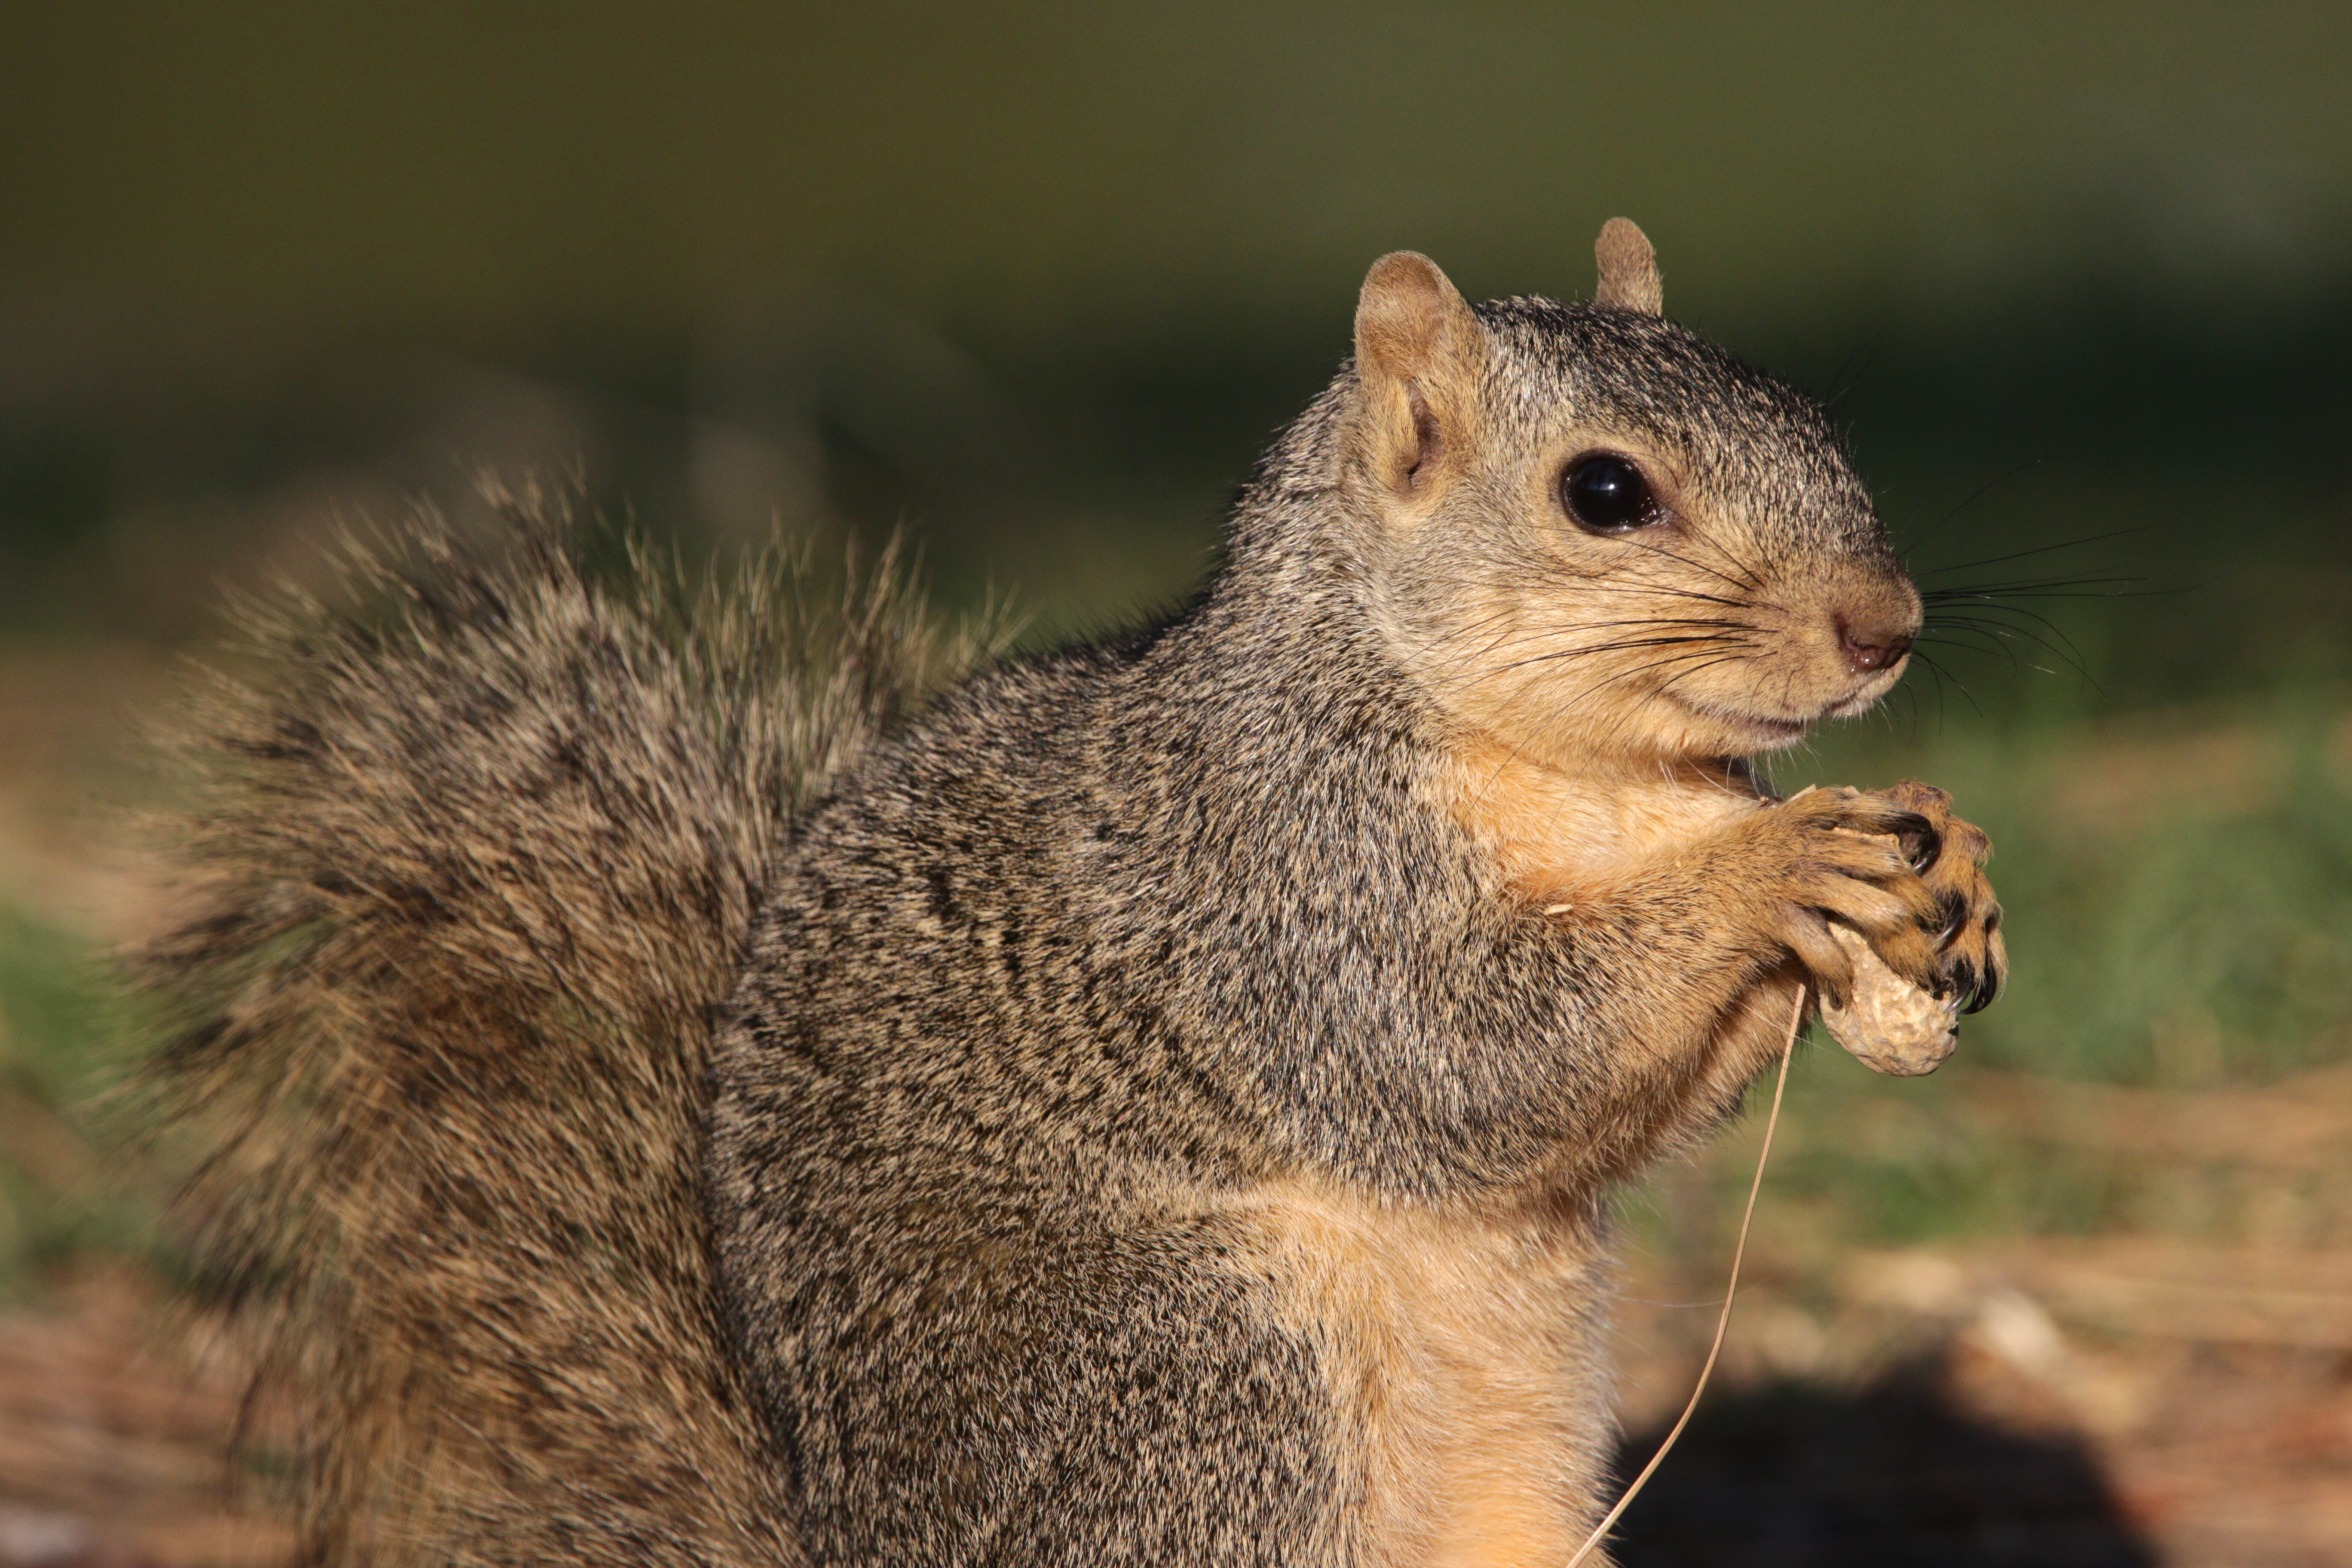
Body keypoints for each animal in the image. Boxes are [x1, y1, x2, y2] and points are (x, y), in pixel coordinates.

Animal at [137, 220, 2003, 1568]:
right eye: (1604, 492)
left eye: (1815, 421)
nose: (1888, 627)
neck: (1609, 780)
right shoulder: (1275, 879)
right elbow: (1461, 1057)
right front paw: (1777, 864)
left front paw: (1937, 875)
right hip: (1204, 1380)